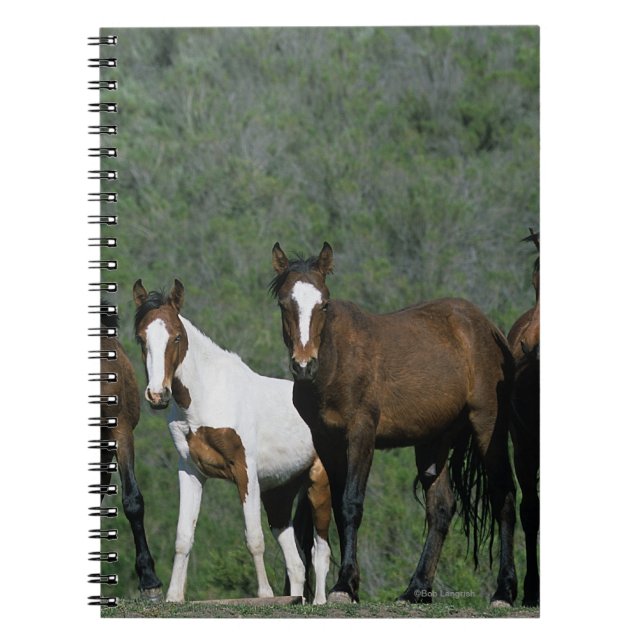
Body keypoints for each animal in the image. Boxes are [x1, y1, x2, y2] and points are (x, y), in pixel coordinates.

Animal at [132, 279, 331, 603]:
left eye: (176, 337)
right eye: (141, 338)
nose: (157, 395)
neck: (207, 396)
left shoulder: (244, 471)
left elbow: (254, 538)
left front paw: (264, 595)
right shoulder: (190, 471)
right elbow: (183, 536)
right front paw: (174, 596)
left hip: (319, 483)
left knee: (320, 551)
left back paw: (319, 603)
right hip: (279, 494)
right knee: (297, 565)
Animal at [270, 242, 518, 605]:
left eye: (324, 303)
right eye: (284, 303)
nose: (304, 365)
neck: (336, 361)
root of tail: (487, 328)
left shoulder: (362, 434)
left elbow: (351, 504)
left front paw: (344, 586)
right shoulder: (327, 442)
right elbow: (340, 506)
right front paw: (350, 584)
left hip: (488, 427)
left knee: (504, 497)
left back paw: (504, 590)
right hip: (433, 441)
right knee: (441, 508)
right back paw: (416, 589)